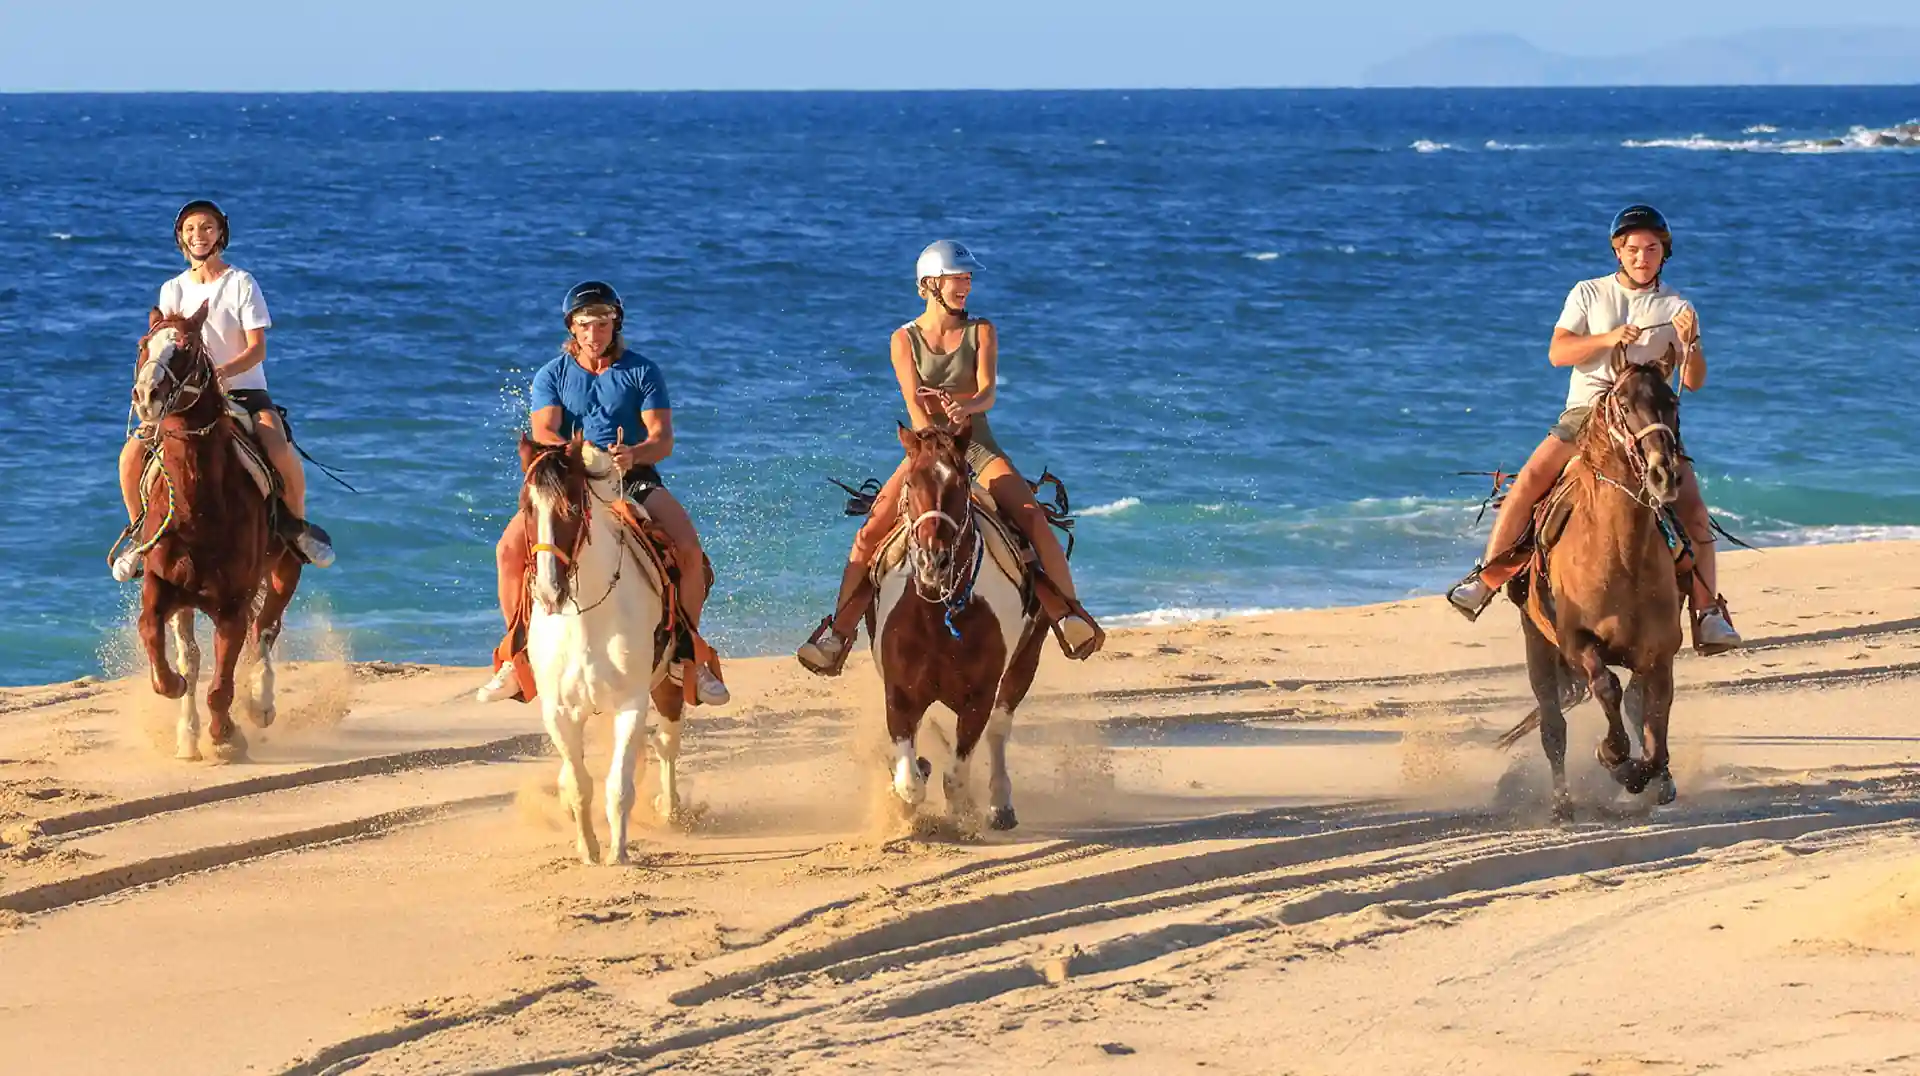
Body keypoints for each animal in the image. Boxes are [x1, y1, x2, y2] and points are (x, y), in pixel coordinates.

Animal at [127, 303, 302, 762]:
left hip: (285, 570)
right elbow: (158, 639)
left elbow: (223, 679)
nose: (146, 396)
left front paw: (226, 735)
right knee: (196, 653)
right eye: (143, 344)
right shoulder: (161, 586)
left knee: (266, 630)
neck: (198, 508)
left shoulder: (233, 604)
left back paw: (261, 706)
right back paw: (188, 735)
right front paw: (172, 689)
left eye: (187, 348)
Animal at [519, 433, 687, 865]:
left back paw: (672, 810)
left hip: (667, 682)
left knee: (667, 743)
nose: (549, 592)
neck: (586, 618)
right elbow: (581, 785)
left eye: (574, 507)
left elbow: (619, 786)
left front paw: (619, 853)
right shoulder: (559, 711)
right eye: (527, 508)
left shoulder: (631, 703)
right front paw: (589, 850)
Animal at [870, 424, 1050, 831]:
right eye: (910, 482)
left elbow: (955, 776)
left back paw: (1000, 806)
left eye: (960, 483)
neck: (937, 617)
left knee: (999, 729)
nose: (932, 561)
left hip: (1025, 662)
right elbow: (910, 781)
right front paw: (909, 787)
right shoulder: (898, 693)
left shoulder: (978, 698)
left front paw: (962, 813)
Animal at [1506, 356, 1688, 821]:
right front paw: (1614, 758)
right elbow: (1606, 687)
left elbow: (1654, 723)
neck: (1621, 555)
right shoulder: (1576, 642)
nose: (1665, 475)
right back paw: (1562, 805)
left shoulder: (1659, 654)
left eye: (1673, 401)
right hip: (1536, 644)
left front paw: (1646, 775)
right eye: (1623, 404)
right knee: (1553, 727)